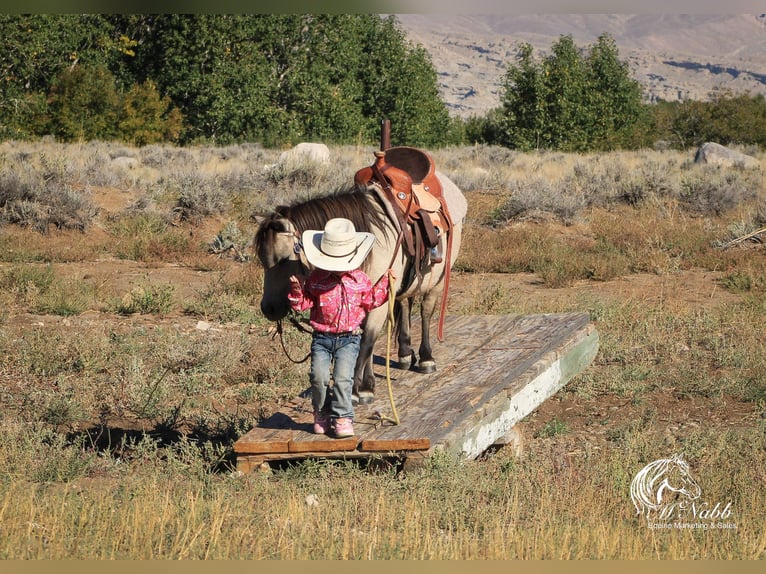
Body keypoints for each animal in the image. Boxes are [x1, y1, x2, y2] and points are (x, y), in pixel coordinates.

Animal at [256, 148, 468, 404]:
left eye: (285, 258)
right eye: (262, 260)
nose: (269, 309)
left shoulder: (377, 299)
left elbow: (367, 340)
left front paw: (359, 390)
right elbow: (363, 340)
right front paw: (367, 384)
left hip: (437, 280)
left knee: (426, 312)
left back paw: (426, 358)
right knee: (405, 303)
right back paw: (405, 354)